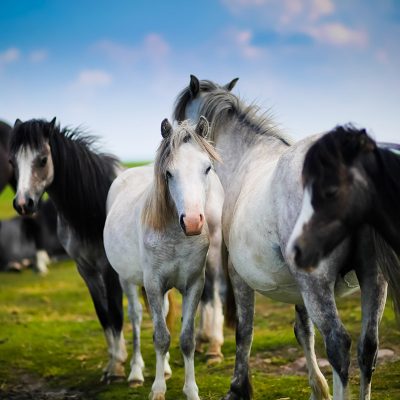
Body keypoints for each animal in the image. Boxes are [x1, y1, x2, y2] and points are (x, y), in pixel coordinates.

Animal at [104, 118, 225, 400]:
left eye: (207, 168)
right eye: (169, 173)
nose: (192, 222)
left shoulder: (194, 284)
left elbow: (186, 338)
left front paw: (191, 390)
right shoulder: (153, 285)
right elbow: (160, 337)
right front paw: (158, 390)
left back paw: (167, 368)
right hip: (127, 280)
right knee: (136, 318)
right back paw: (136, 373)